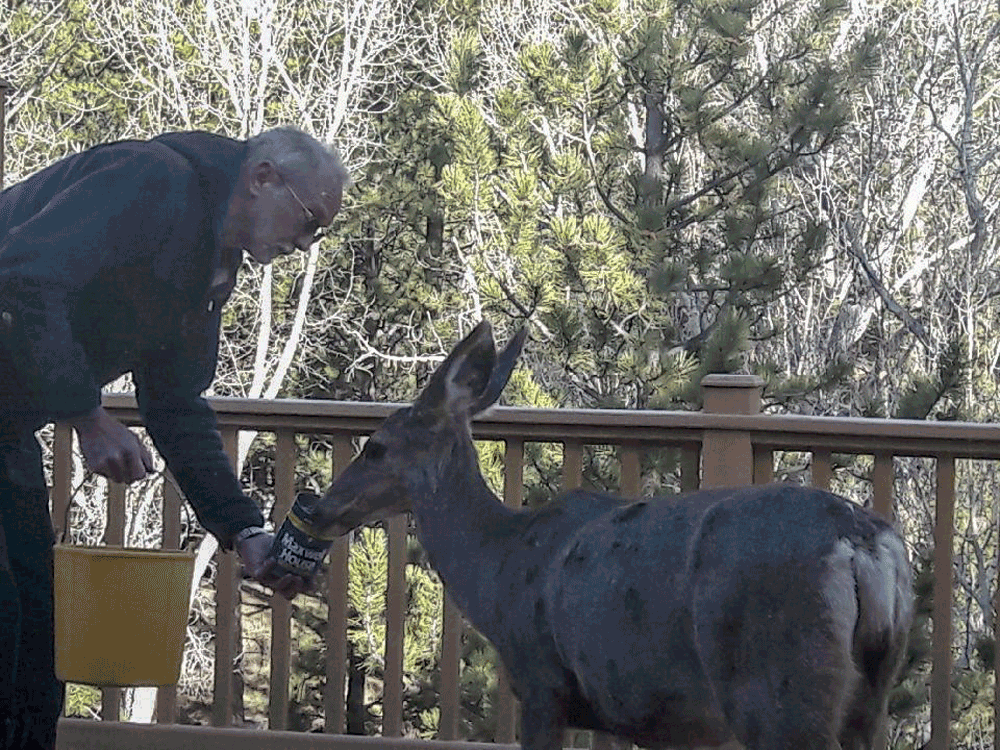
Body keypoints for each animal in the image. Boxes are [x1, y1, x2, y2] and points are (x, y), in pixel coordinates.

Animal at [304, 322, 916, 750]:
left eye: (375, 446)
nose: (319, 508)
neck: (498, 569)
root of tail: (863, 544)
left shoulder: (543, 684)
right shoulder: (651, 717)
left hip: (778, 683)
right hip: (869, 695)